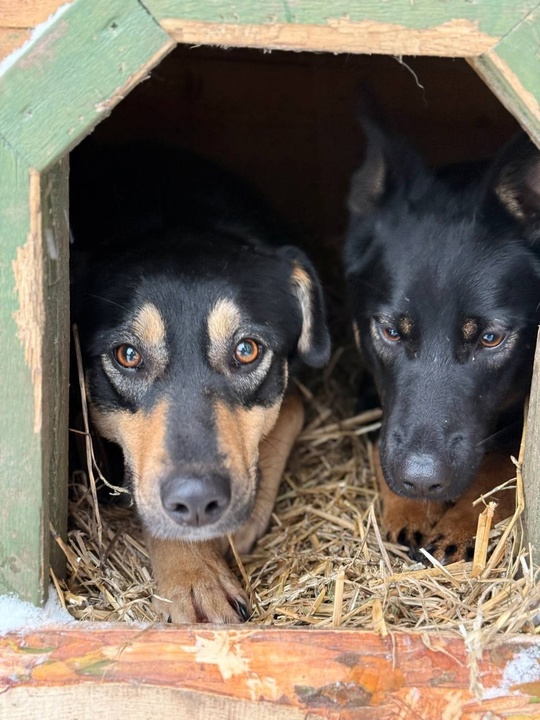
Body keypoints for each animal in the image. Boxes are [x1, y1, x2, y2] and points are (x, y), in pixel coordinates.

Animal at [346, 121, 540, 564]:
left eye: (491, 338)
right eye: (391, 331)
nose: (421, 481)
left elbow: (502, 466)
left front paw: (461, 524)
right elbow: (384, 447)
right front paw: (412, 510)